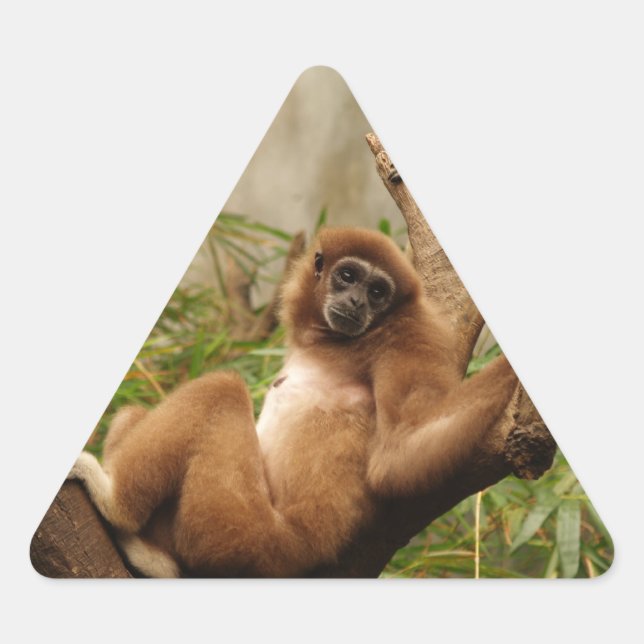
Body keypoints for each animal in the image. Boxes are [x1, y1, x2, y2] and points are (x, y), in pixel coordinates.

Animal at [68, 227, 518, 577]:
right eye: (348, 276)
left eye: (377, 292)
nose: (357, 302)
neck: (338, 344)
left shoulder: (410, 335)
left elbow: (401, 451)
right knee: (137, 411)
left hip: (238, 532)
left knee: (222, 389)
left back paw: (118, 510)